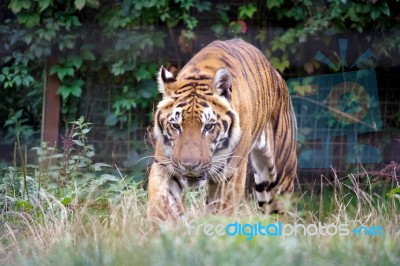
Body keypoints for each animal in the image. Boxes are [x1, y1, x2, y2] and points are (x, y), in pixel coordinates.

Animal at [147, 39, 296, 222]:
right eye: (176, 125)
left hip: (279, 176)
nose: (189, 166)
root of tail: (277, 74)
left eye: (208, 126)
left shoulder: (228, 176)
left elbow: (220, 214)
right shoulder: (164, 166)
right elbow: (160, 205)